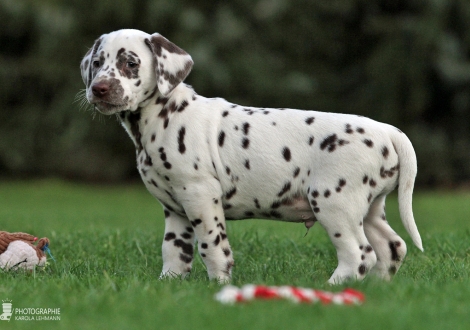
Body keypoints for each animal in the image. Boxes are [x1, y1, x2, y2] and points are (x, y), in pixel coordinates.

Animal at [80, 29, 422, 284]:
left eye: (130, 63)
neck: (164, 116)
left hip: (335, 204)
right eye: (97, 63)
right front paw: (169, 283)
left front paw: (218, 284)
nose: (99, 89)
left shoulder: (200, 196)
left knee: (360, 254)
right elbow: (174, 250)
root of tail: (388, 131)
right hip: (370, 209)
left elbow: (212, 247)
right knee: (393, 247)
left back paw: (331, 288)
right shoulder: (175, 208)